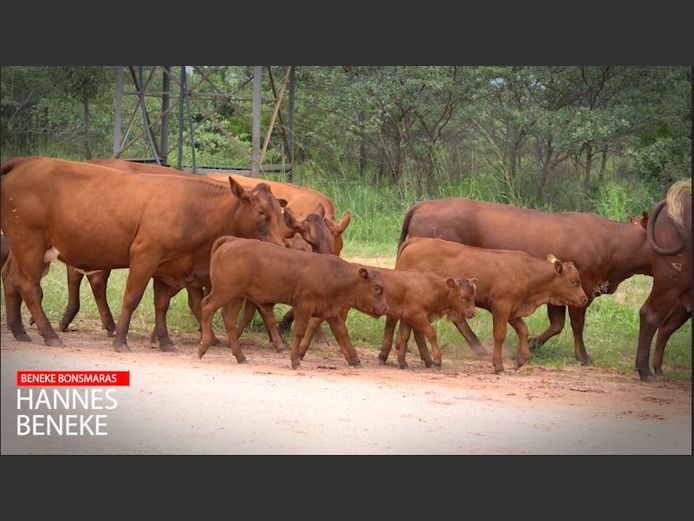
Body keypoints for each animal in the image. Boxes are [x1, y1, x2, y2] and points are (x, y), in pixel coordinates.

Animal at [0, 155, 290, 350]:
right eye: (260, 212)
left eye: (280, 212)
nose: (281, 246)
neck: (194, 208)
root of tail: (27, 162)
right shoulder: (145, 255)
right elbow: (132, 297)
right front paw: (121, 340)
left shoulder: (167, 267)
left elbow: (161, 304)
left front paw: (165, 341)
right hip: (30, 244)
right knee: (29, 286)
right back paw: (50, 335)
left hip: (22, 248)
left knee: (11, 278)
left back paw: (19, 330)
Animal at [198, 238, 388, 368]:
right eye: (377, 288)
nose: (385, 308)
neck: (333, 275)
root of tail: (231, 240)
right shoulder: (304, 306)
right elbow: (299, 332)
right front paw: (295, 360)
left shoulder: (331, 311)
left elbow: (342, 333)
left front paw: (354, 359)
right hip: (224, 291)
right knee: (207, 307)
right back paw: (203, 346)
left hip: (237, 296)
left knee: (229, 318)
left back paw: (240, 356)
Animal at [396, 238, 588, 372]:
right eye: (573, 282)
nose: (584, 299)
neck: (526, 272)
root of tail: (417, 240)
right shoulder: (501, 307)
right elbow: (500, 335)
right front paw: (498, 365)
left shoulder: (513, 310)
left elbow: (523, 330)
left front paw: (521, 359)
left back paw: (424, 358)